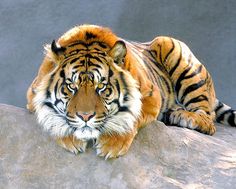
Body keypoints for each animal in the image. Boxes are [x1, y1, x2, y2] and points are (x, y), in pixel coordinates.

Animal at [26, 24, 236, 159]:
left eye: (101, 87)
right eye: (71, 86)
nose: (85, 117)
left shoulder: (150, 96)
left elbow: (129, 117)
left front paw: (111, 145)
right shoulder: (33, 94)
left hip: (174, 49)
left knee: (208, 118)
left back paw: (191, 118)